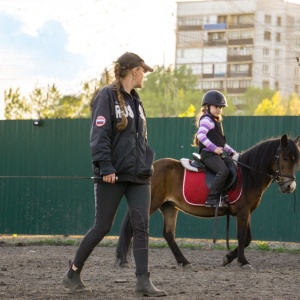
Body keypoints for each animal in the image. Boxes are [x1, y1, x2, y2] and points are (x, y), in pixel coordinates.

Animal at [115, 135, 300, 268]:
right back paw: (124, 260)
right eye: (284, 158)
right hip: (152, 204)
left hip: (169, 207)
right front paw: (243, 261)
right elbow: (242, 237)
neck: (248, 175)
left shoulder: (247, 212)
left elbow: (248, 238)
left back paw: (184, 261)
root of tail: (150, 168)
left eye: (295, 160)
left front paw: (228, 258)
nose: (290, 186)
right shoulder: (242, 212)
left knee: (168, 234)